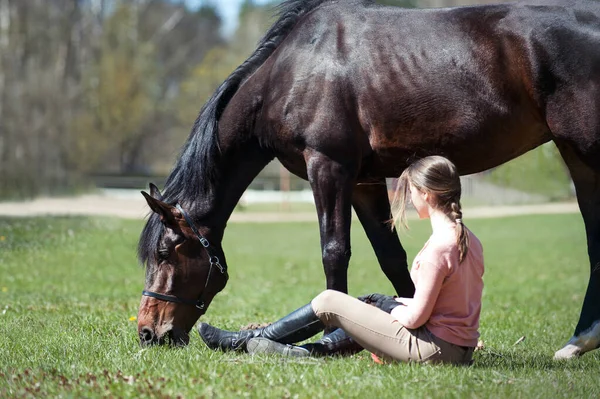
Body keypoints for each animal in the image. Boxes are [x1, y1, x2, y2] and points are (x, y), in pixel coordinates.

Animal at [136, 0, 600, 360]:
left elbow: (334, 252)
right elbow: (391, 256)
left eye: (165, 252)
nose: (148, 332)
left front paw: (329, 337)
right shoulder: (364, 181)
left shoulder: (328, 166)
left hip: (584, 147)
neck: (290, 72)